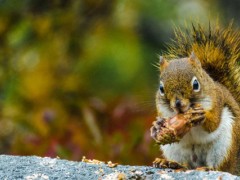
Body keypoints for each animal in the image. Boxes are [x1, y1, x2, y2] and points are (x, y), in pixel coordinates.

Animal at [150, 22, 240, 174]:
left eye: (196, 84)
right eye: (161, 88)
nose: (178, 104)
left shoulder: (217, 101)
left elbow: (213, 124)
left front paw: (202, 117)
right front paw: (157, 125)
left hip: (224, 145)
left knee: (221, 167)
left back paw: (208, 167)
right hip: (174, 150)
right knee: (185, 164)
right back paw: (170, 163)